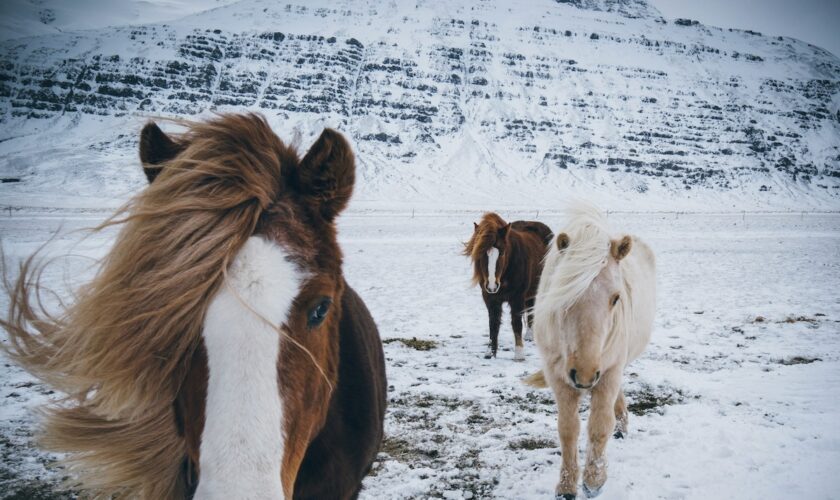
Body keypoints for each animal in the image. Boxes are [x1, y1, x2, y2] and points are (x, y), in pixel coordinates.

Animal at [462, 213, 556, 362]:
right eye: (482, 254)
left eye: (501, 253)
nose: (492, 285)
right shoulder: (490, 299)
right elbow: (493, 324)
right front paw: (490, 353)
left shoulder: (516, 298)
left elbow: (516, 324)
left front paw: (519, 354)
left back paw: (530, 336)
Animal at [524, 204, 656, 500]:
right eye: (565, 294)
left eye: (616, 298)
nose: (584, 374)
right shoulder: (558, 377)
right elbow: (568, 430)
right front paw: (566, 487)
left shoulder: (608, 372)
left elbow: (599, 426)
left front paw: (594, 481)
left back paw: (621, 427)